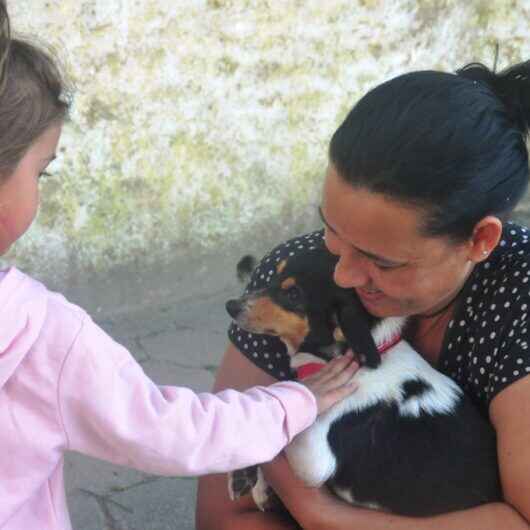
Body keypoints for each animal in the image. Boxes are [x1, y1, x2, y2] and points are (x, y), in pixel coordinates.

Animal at [224, 243, 500, 516]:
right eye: (275, 275)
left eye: (293, 294)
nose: (231, 305)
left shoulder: (312, 461)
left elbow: (279, 434)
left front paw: (253, 480)